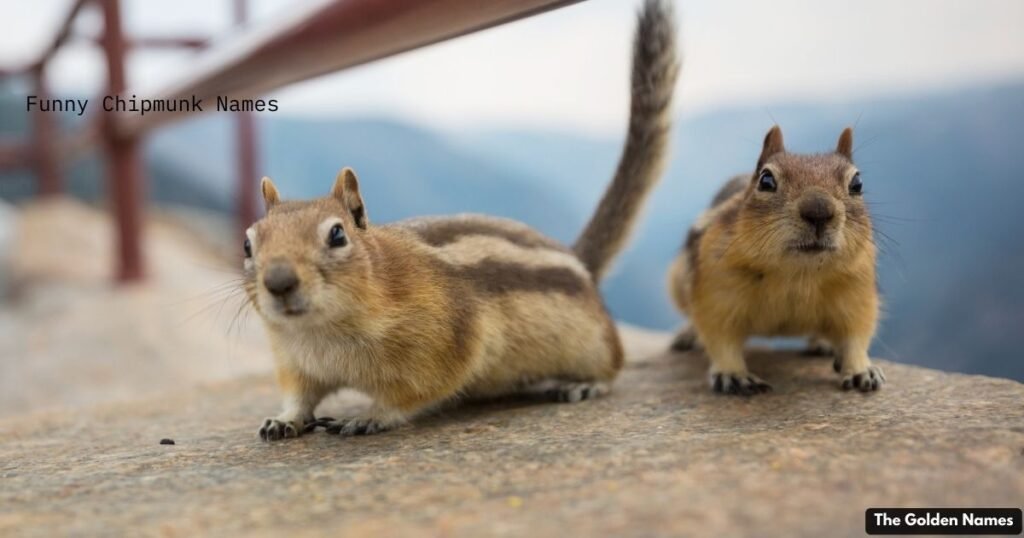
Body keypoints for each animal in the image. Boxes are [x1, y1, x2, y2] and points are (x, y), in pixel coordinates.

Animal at [245, 0, 679, 441]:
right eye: (249, 243)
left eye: (337, 235)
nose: (278, 282)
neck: (322, 330)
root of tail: (580, 263)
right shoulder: (295, 363)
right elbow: (300, 397)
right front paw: (283, 419)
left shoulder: (443, 347)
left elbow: (413, 393)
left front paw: (368, 415)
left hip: (592, 342)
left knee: (614, 364)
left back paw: (583, 383)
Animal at [667, 125, 885, 395]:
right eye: (766, 180)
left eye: (857, 183)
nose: (818, 211)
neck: (797, 273)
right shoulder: (715, 292)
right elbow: (719, 336)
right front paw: (733, 374)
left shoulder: (856, 293)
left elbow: (856, 335)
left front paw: (861, 369)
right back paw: (687, 335)